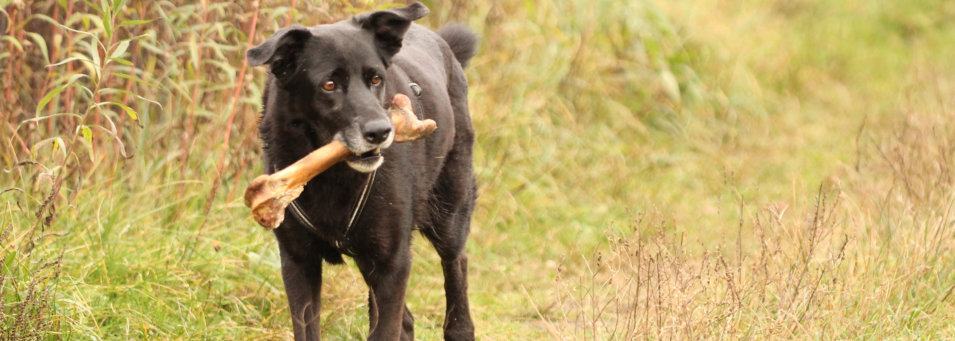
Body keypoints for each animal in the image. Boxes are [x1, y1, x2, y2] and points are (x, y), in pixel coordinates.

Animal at [246, 2, 478, 340]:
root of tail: (441, 42)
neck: (332, 176)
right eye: (329, 85)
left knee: (456, 264)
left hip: (449, 212)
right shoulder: (299, 261)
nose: (381, 131)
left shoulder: (392, 263)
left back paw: (460, 328)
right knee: (405, 320)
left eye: (376, 79)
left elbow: (385, 328)